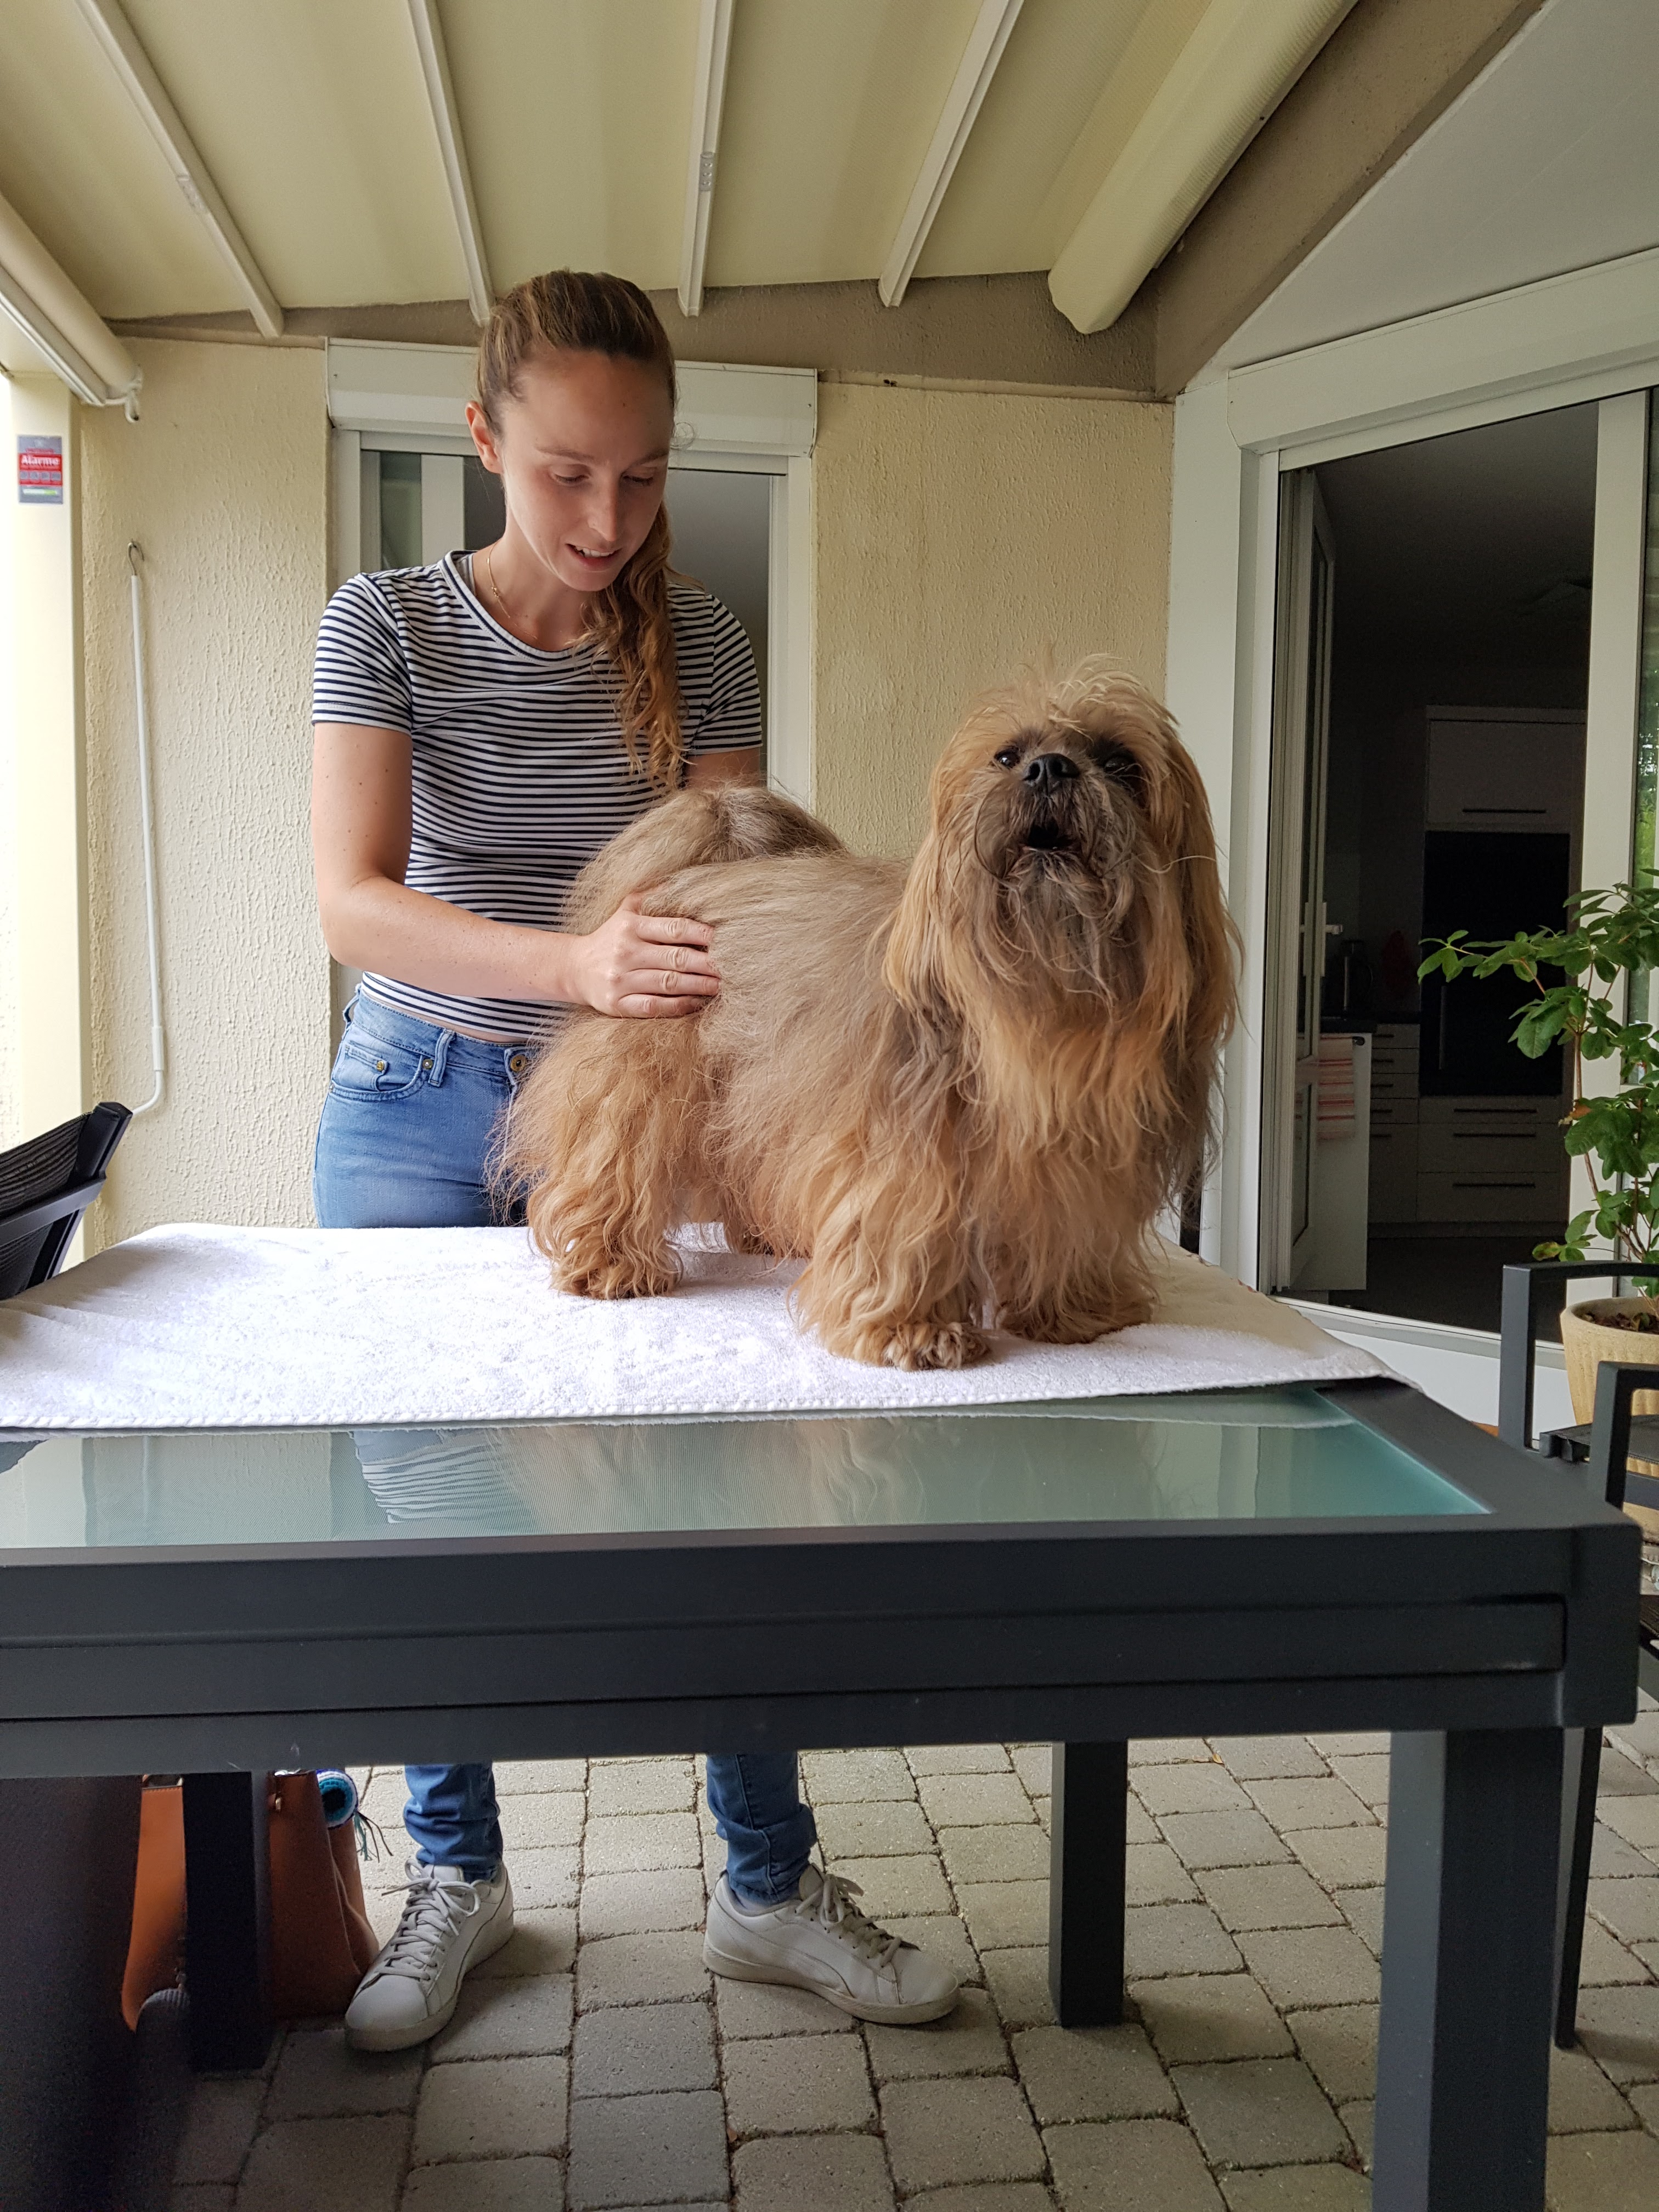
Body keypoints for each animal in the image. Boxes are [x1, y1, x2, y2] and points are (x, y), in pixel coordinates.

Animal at [504, 659, 1237, 1369]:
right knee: (612, 1165)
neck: (1044, 997)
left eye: (1121, 762)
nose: (1050, 769)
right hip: (645, 1080)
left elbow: (1066, 1229)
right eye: (1006, 756)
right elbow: (906, 1225)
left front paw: (1074, 1311)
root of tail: (694, 873)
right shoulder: (902, 1140)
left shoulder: (1080, 1161)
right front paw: (915, 1329)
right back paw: (611, 1262)